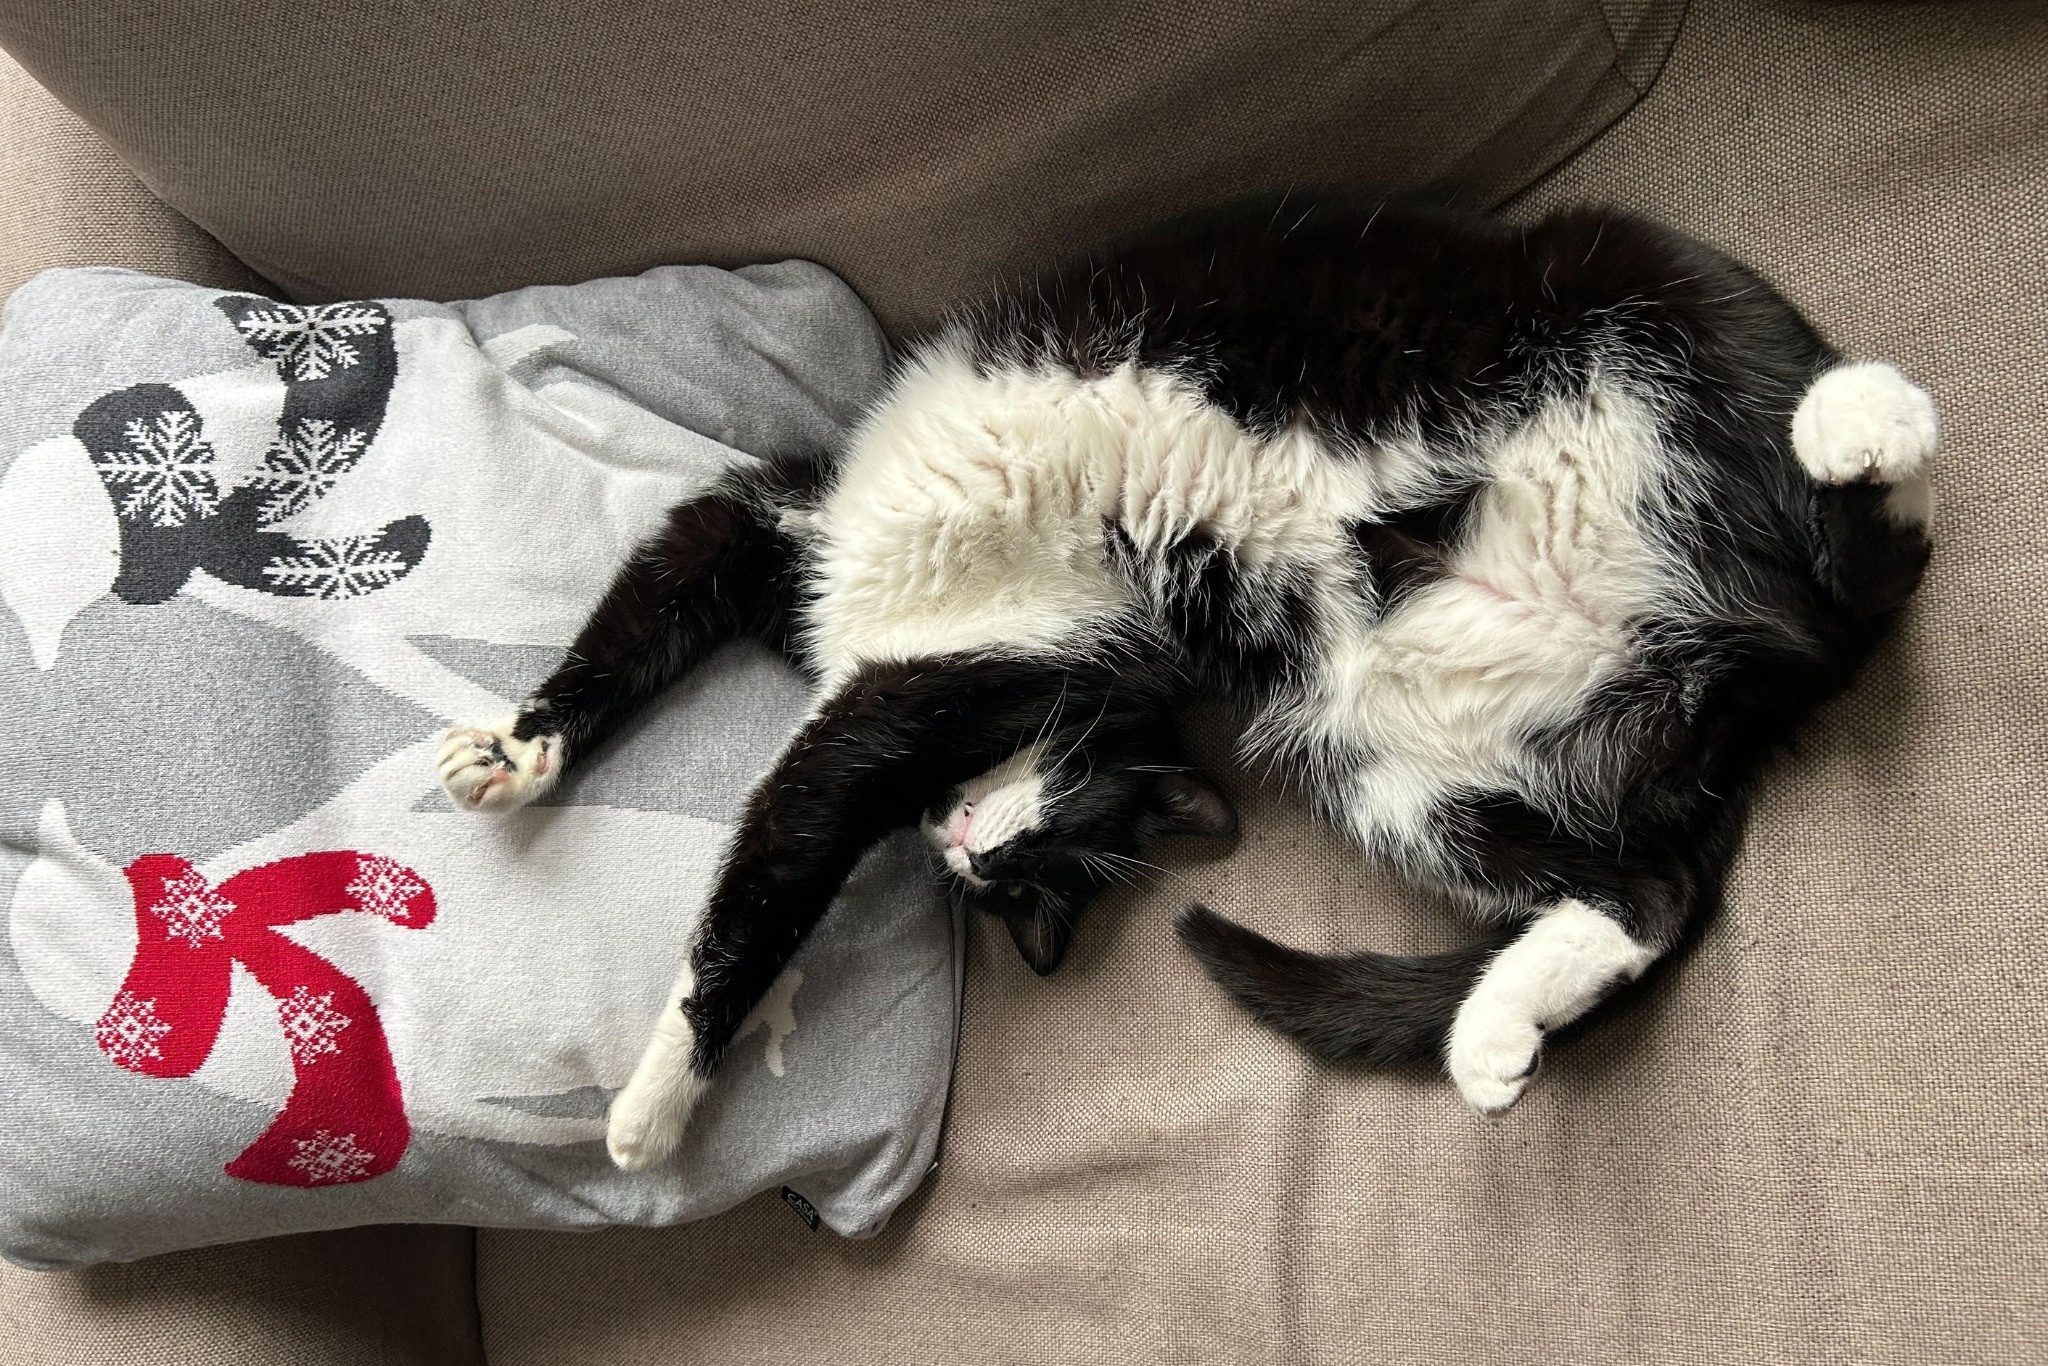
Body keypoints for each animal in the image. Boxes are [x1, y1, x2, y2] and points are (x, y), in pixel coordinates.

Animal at [439, 194, 1935, 1170]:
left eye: (1050, 864)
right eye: (1023, 893)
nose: (966, 848)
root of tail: (1760, 660)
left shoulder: (920, 686)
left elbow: (772, 863)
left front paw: (655, 1099)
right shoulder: (772, 536)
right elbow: (643, 611)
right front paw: (518, 753)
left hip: (1624, 274)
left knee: (1876, 527)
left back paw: (1859, 423)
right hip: (1389, 764)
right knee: (1648, 891)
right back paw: (1489, 1040)